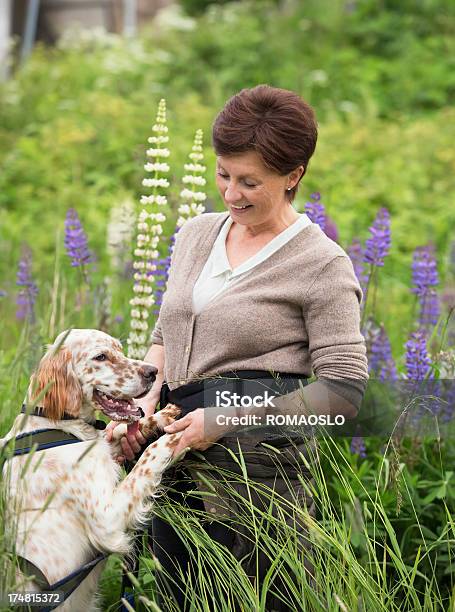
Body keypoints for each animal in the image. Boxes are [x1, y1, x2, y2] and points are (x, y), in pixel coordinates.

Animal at [0, 332, 182, 608]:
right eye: (100, 356)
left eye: (119, 349)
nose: (153, 371)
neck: (56, 423)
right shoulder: (106, 522)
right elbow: (146, 459)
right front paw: (179, 435)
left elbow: (120, 430)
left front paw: (163, 416)